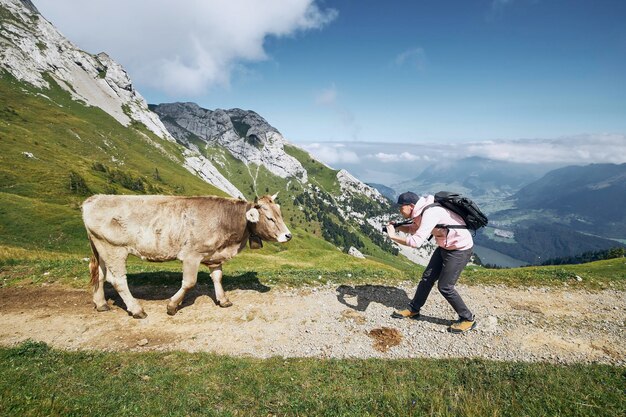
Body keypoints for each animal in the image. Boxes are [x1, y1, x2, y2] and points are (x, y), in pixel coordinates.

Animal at [80, 193, 290, 316]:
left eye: (280, 213)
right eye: (269, 218)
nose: (288, 235)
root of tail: (94, 198)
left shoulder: (214, 254)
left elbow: (217, 277)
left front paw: (223, 300)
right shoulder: (191, 255)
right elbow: (189, 283)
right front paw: (172, 306)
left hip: (101, 247)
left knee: (99, 274)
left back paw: (101, 304)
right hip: (114, 248)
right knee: (118, 280)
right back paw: (137, 309)